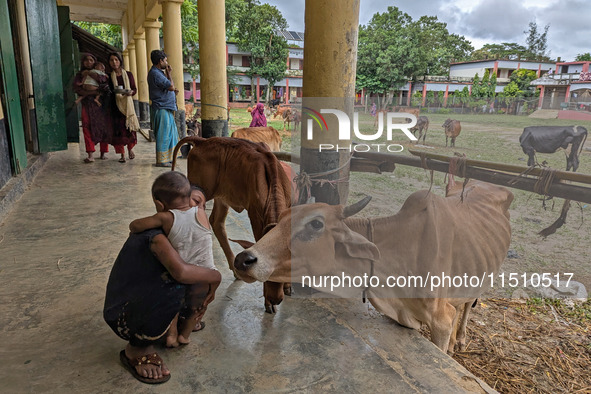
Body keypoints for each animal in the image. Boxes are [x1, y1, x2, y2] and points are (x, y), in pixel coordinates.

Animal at [171, 137, 294, 312]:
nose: (275, 299)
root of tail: (203, 140)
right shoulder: (255, 214)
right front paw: (267, 302)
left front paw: (288, 286)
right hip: (198, 191)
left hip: (222, 196)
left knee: (216, 222)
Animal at [235, 180, 512, 352]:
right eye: (281, 219)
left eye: (315, 224)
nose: (243, 260)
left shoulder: (440, 321)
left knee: (467, 307)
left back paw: (461, 340)